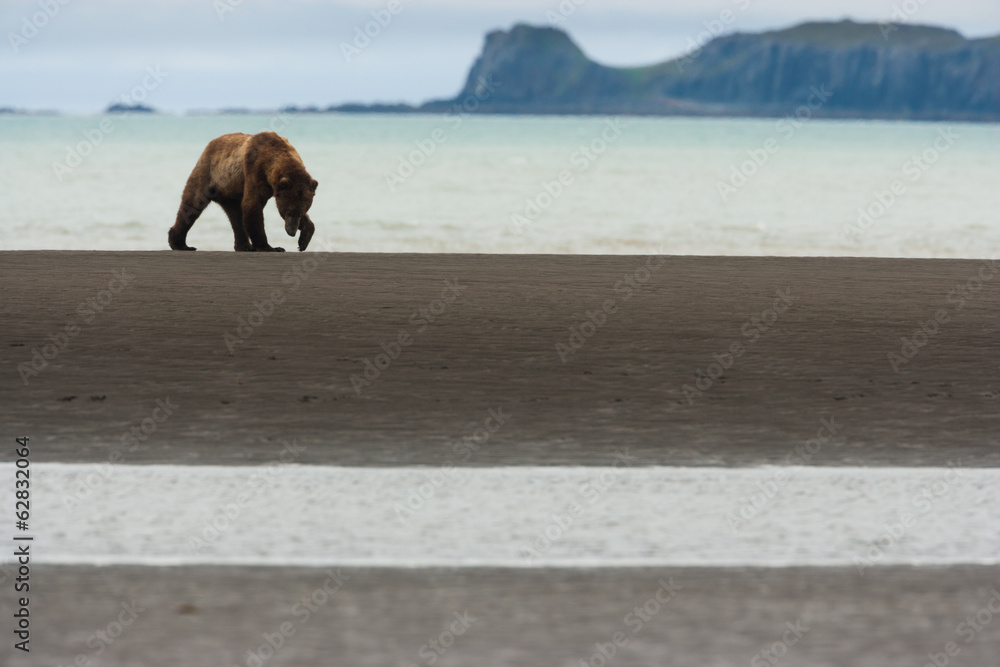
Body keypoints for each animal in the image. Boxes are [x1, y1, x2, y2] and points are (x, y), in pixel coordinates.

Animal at [168, 131, 317, 252]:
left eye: (302, 211)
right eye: (288, 211)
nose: (291, 232)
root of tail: (209, 144)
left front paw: (304, 239)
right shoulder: (255, 171)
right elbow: (252, 206)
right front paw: (271, 247)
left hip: (230, 193)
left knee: (236, 215)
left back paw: (244, 246)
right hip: (207, 174)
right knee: (192, 204)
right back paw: (180, 244)